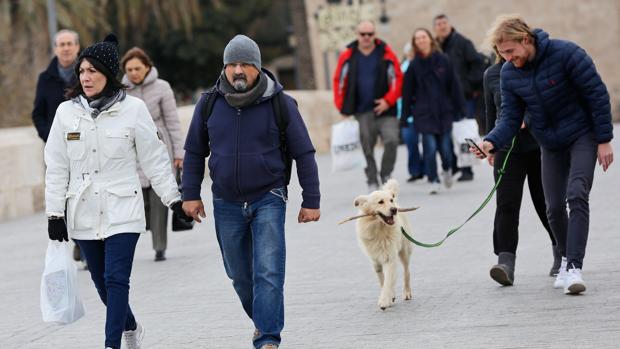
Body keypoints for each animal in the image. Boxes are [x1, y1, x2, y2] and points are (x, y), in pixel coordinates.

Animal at [354, 178, 412, 308]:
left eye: (390, 200)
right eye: (380, 202)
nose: (394, 210)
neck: (379, 230)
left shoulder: (390, 258)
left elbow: (388, 281)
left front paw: (384, 301)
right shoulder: (375, 262)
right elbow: (383, 281)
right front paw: (390, 296)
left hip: (404, 251)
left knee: (406, 272)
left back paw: (407, 292)